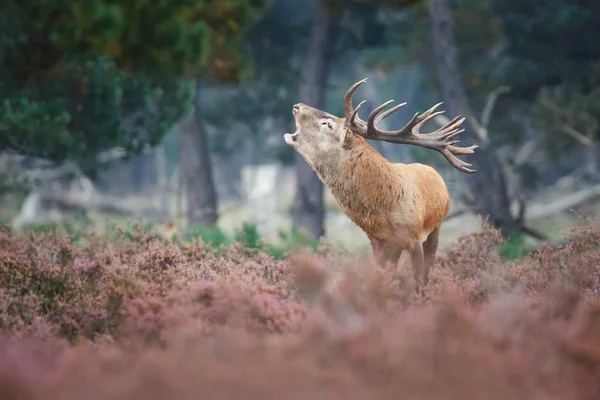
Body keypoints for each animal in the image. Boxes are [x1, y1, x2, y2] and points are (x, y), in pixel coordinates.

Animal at [284, 78, 478, 296]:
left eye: (328, 124)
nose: (297, 106)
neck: (383, 213)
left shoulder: (414, 239)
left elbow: (418, 282)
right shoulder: (377, 242)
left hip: (436, 228)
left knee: (427, 272)